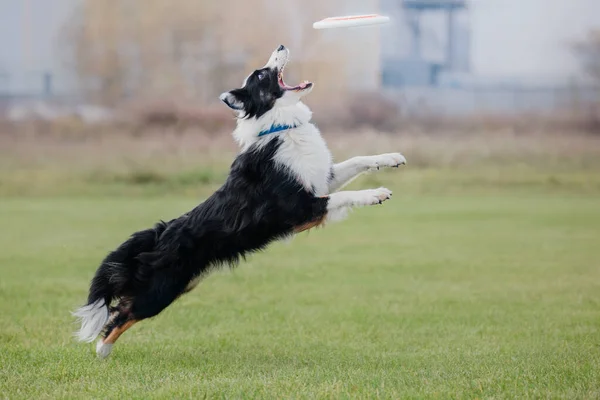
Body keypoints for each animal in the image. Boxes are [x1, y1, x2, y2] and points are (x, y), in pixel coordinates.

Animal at [72, 45, 406, 358]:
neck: (280, 127)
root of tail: (159, 232)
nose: (281, 46)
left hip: (180, 283)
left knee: (123, 309)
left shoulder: (319, 180)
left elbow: (358, 160)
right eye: (260, 75)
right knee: (120, 313)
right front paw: (375, 193)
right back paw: (102, 350)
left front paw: (391, 157)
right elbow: (343, 195)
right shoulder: (300, 208)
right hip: (161, 289)